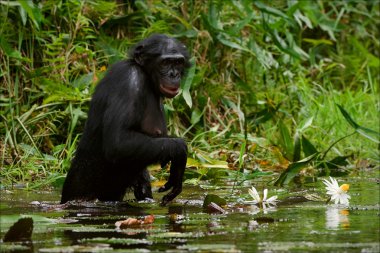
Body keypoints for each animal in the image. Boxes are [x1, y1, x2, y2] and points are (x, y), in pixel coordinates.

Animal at [61, 33, 191, 205]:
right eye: (165, 62)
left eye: (178, 62)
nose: (173, 74)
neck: (146, 76)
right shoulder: (129, 81)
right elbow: (119, 142)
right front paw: (179, 151)